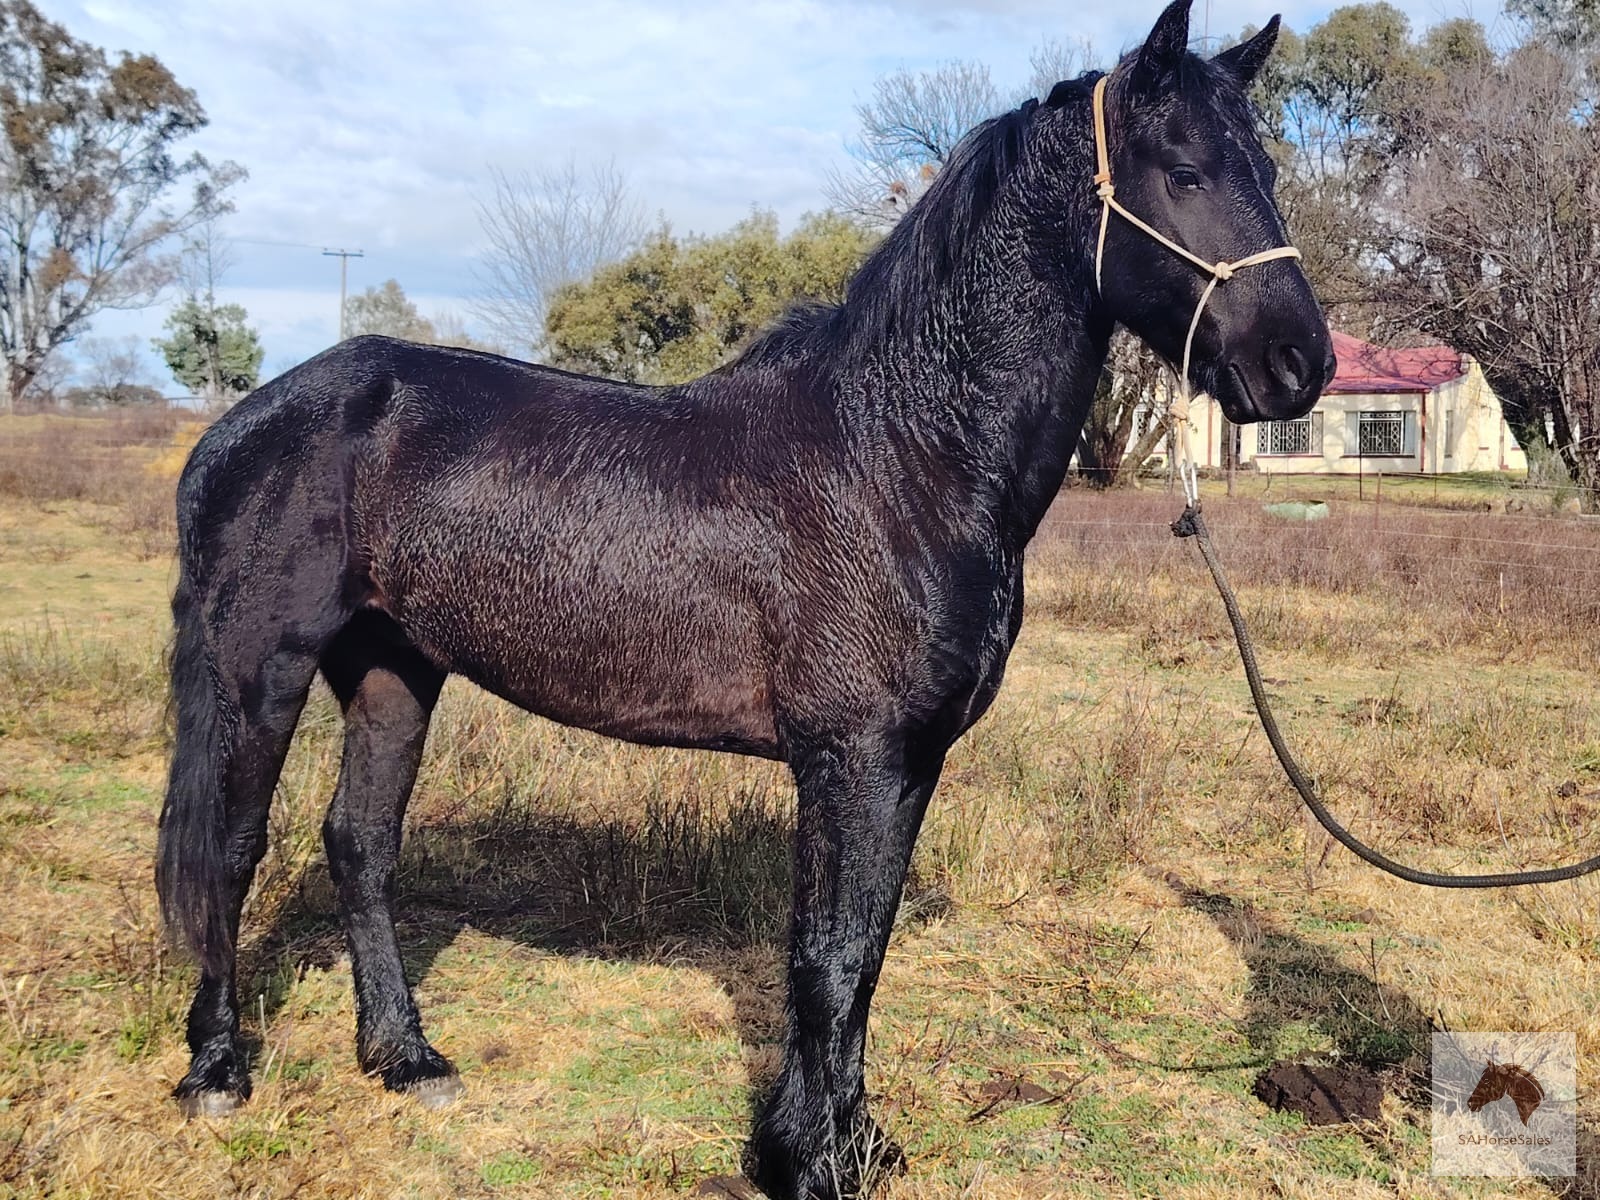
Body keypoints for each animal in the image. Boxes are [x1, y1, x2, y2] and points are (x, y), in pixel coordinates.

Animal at [155, 2, 1332, 1195]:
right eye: (1182, 171)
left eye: (1268, 168)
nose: (1300, 364)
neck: (900, 456)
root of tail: (240, 425)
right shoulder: (849, 758)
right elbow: (826, 958)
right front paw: (803, 1161)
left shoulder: (907, 763)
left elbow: (865, 955)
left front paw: (852, 1142)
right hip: (262, 669)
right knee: (232, 853)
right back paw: (216, 1072)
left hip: (394, 667)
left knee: (360, 846)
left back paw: (404, 1056)